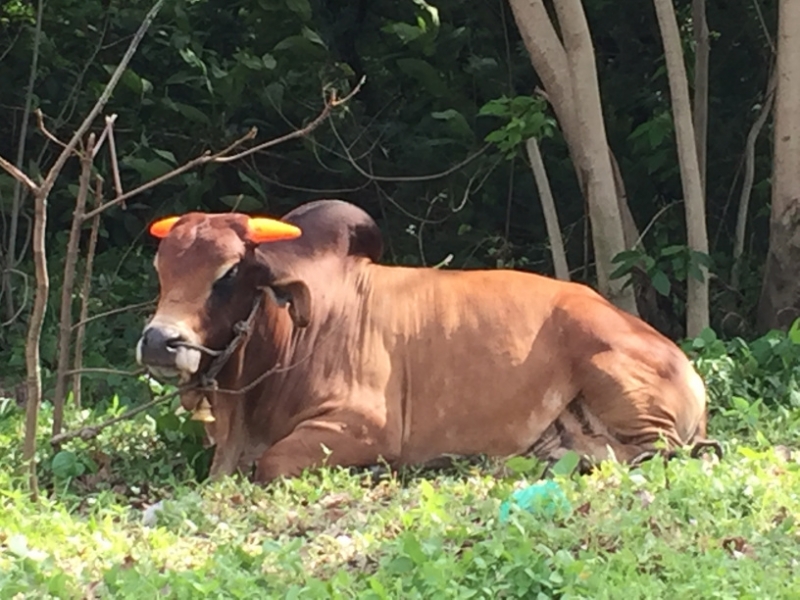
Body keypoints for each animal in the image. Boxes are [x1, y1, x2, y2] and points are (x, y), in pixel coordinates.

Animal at [136, 199, 715, 483]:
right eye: (161, 268)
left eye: (229, 272)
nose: (160, 341)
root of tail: (685, 366)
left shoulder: (363, 425)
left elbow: (271, 464)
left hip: (615, 376)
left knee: (659, 452)